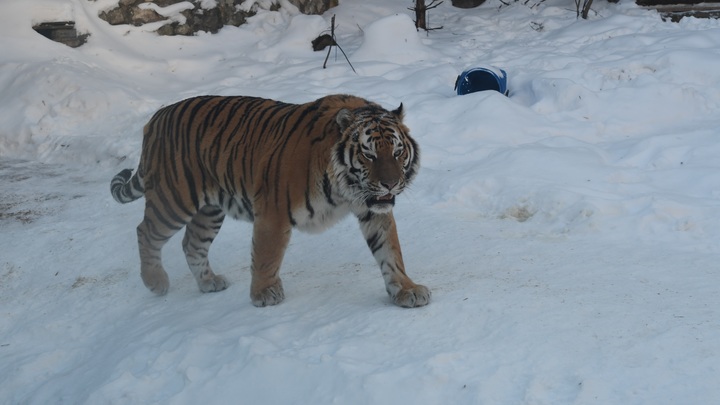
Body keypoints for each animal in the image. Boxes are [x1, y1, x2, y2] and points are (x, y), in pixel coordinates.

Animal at [109, 94, 430, 306]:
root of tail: (156, 118)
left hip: (210, 210)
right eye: (369, 154)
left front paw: (406, 289)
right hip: (174, 199)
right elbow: (267, 255)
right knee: (146, 231)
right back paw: (156, 281)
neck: (346, 189)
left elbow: (390, 252)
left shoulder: (373, 210)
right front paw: (264, 293)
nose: (390, 183)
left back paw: (209, 282)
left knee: (192, 243)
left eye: (397, 152)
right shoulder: (273, 212)